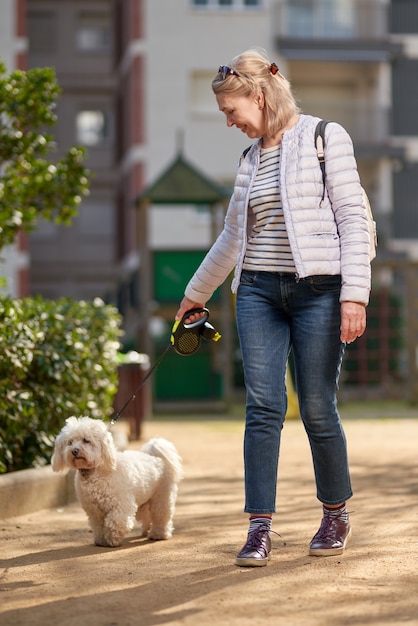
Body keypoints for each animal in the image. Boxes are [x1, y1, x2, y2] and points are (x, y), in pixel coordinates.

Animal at [52, 416, 183, 544]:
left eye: (86, 440)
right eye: (70, 442)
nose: (74, 451)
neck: (96, 471)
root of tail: (156, 457)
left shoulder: (121, 505)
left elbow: (116, 522)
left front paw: (112, 539)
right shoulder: (94, 510)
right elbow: (98, 525)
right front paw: (101, 540)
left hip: (161, 497)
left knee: (161, 515)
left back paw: (158, 534)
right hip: (144, 501)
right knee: (146, 516)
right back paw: (146, 530)